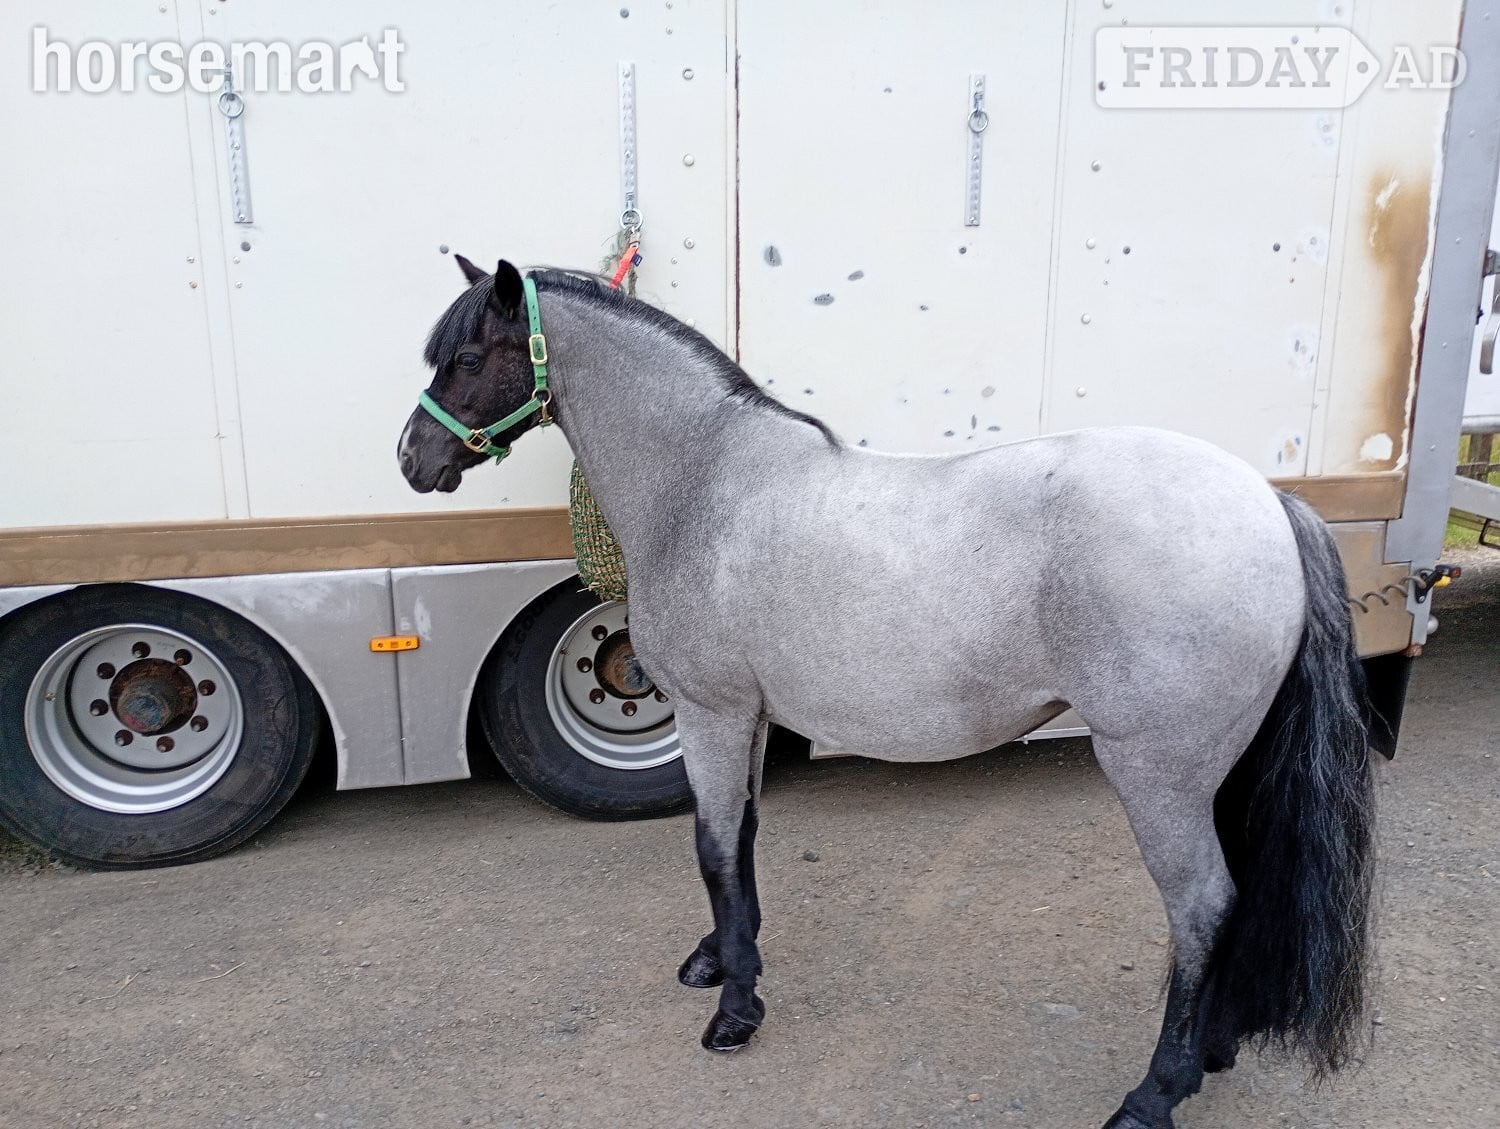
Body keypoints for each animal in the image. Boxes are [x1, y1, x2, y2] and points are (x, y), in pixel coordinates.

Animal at [397, 256, 1375, 1129]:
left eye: (470, 358)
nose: (411, 457)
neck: (709, 485)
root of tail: (1267, 502)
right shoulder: (752, 720)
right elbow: (741, 840)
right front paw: (723, 960)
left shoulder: (714, 715)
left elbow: (711, 848)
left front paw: (734, 1012)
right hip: (1220, 770)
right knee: (1235, 896)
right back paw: (1215, 1048)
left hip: (1158, 774)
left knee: (1202, 904)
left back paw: (1154, 1093)